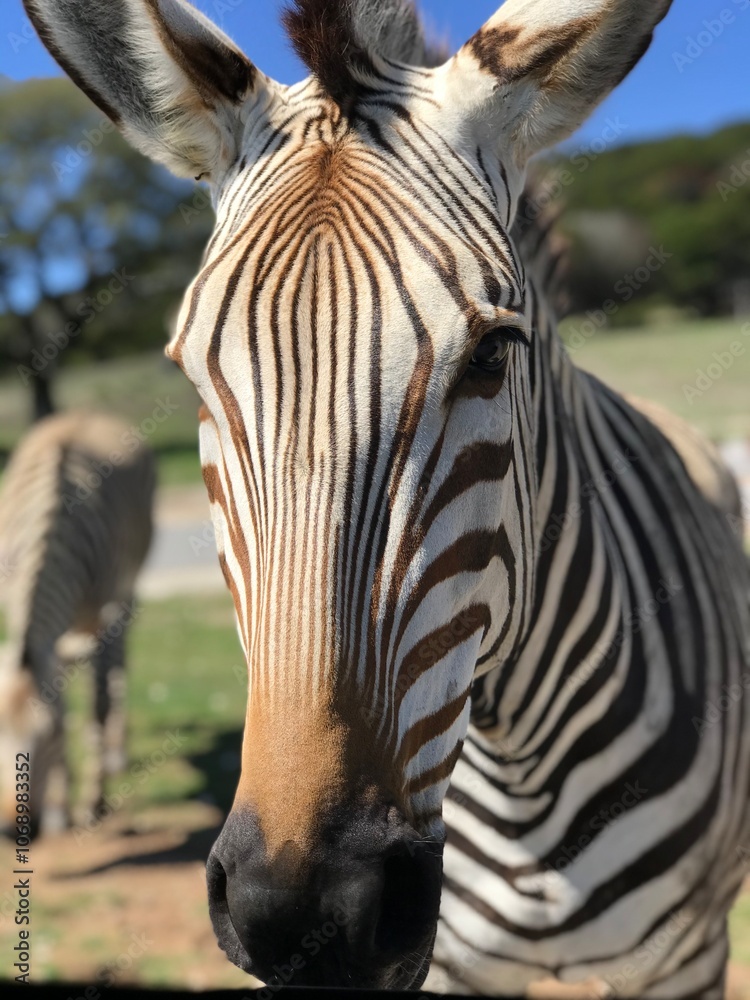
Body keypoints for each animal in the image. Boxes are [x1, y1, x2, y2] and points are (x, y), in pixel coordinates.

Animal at [0, 411, 155, 837]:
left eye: (48, 735)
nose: (10, 829)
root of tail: (86, 412)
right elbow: (64, 698)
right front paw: (58, 807)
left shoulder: (104, 613)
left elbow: (96, 703)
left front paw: (90, 803)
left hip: (124, 589)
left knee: (118, 664)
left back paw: (116, 753)